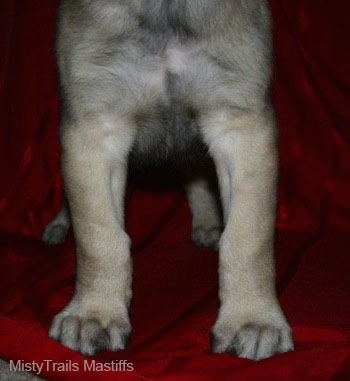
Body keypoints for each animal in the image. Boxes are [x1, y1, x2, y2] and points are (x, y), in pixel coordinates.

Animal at [44, 0, 296, 360]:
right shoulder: (96, 127)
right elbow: (98, 236)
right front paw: (94, 314)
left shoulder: (239, 125)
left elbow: (248, 237)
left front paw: (252, 319)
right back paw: (59, 225)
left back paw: (208, 224)